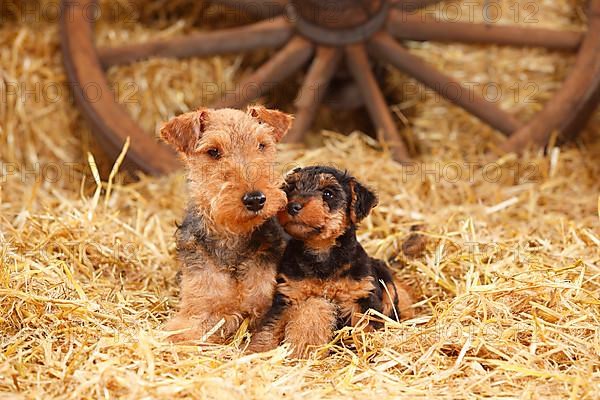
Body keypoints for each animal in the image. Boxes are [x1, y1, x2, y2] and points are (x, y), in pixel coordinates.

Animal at [248, 166, 412, 356]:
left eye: (328, 193)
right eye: (291, 188)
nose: (292, 206)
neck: (321, 251)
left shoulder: (362, 296)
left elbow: (366, 328)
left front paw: (368, 351)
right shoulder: (287, 295)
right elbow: (270, 327)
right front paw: (258, 351)